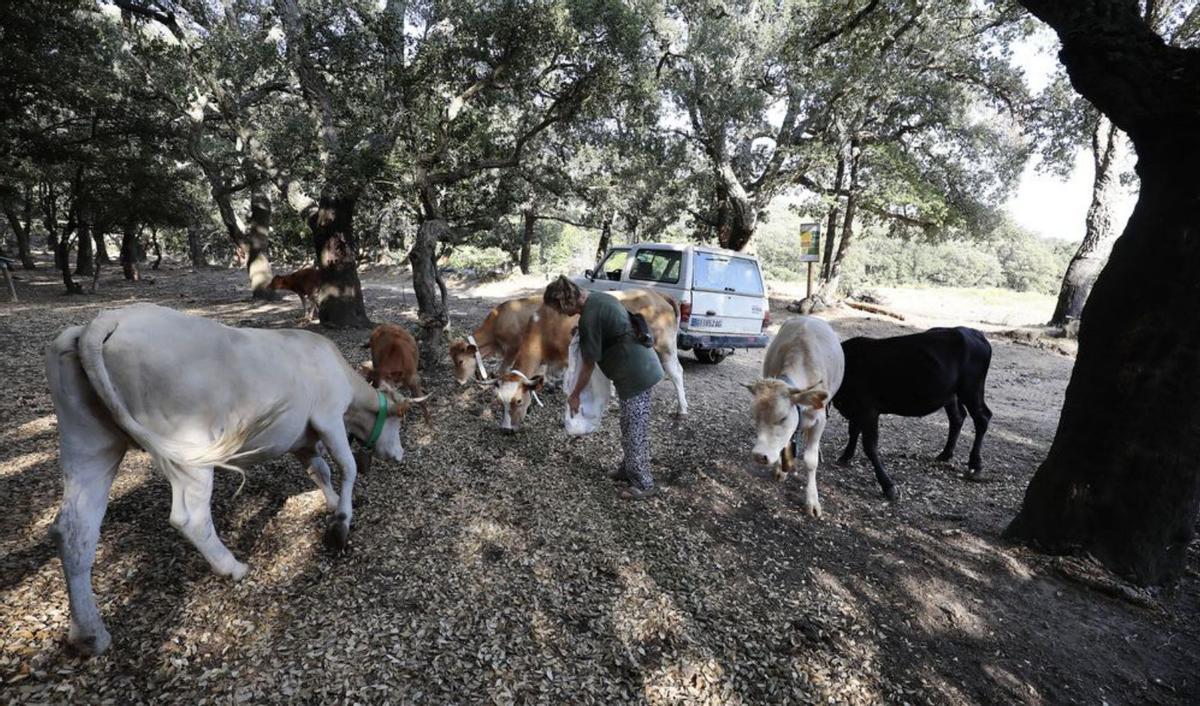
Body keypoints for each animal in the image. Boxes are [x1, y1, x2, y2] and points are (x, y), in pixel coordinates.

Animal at [494, 286, 691, 429]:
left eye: (518, 401)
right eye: (500, 402)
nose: (505, 429)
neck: (544, 327)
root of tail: (656, 293)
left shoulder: (569, 356)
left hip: (666, 345)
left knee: (676, 372)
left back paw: (682, 409)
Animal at [739, 316, 844, 516]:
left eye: (782, 418)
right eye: (755, 418)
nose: (759, 456)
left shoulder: (820, 420)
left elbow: (811, 460)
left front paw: (812, 500)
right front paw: (781, 469)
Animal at [835, 326, 993, 499]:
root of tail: (974, 332)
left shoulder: (867, 409)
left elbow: (869, 446)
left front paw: (888, 486)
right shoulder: (856, 409)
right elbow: (853, 432)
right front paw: (845, 456)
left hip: (971, 389)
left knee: (982, 418)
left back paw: (975, 465)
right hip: (951, 395)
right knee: (958, 417)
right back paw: (945, 454)